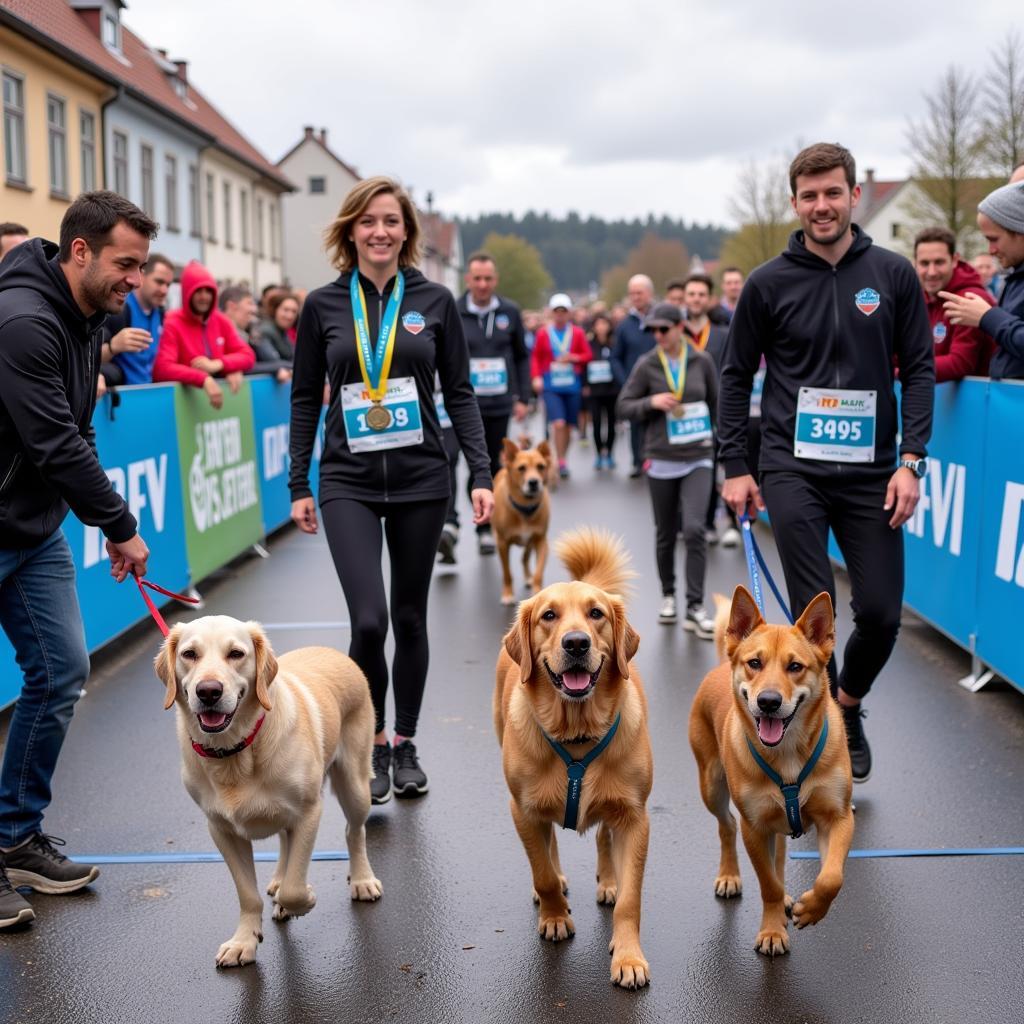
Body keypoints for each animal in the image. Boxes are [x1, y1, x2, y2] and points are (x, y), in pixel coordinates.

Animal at [155, 614, 385, 966]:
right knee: (285, 842)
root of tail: (332, 651)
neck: (235, 751)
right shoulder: (222, 831)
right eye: (189, 654)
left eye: (236, 654)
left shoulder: (308, 812)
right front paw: (244, 941)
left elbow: (295, 886)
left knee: (354, 831)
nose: (208, 691)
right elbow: (248, 894)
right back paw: (278, 880)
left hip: (355, 784)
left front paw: (303, 900)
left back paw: (362, 880)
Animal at [491, 528, 651, 983]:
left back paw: (608, 881)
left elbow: (631, 899)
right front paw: (555, 917)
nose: (576, 643)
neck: (577, 733)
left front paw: (628, 956)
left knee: (603, 835)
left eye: (596, 614)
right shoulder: (522, 809)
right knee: (548, 848)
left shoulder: (636, 817)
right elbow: (542, 869)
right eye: (549, 616)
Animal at [493, 436, 557, 602]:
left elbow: (538, 573)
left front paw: (537, 591)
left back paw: (528, 577)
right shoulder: (502, 544)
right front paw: (507, 593)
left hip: (530, 542)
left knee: (525, 558)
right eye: (521, 468)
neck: (525, 509)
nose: (533, 482)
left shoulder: (541, 542)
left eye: (541, 466)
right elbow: (507, 573)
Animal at [688, 589, 856, 954]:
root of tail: (722, 665)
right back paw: (731, 875)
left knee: (778, 854)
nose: (768, 701)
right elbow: (768, 885)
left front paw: (811, 909)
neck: (788, 753)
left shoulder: (837, 818)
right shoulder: (754, 828)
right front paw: (772, 930)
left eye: (795, 667)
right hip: (712, 787)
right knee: (727, 825)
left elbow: (831, 878)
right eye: (755, 663)